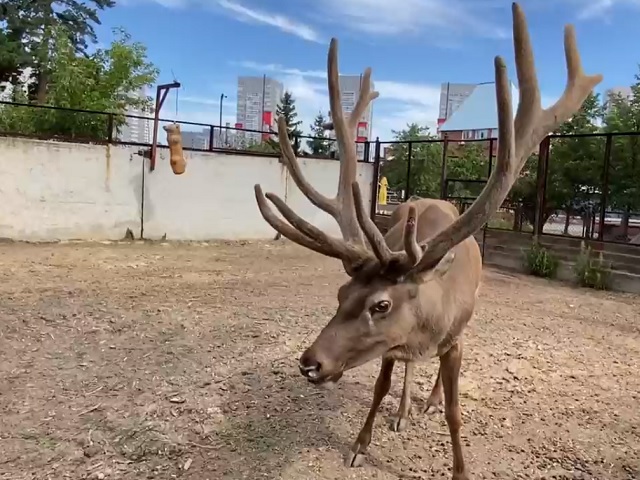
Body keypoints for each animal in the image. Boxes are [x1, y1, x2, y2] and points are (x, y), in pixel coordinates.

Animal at [251, 2, 600, 476]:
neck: (428, 322)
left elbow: (455, 411)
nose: (310, 363)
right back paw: (401, 410)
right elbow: (379, 388)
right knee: (405, 372)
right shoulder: (390, 345)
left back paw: (426, 401)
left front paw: (460, 466)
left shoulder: (453, 339)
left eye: (381, 304)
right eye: (341, 292)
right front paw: (360, 444)